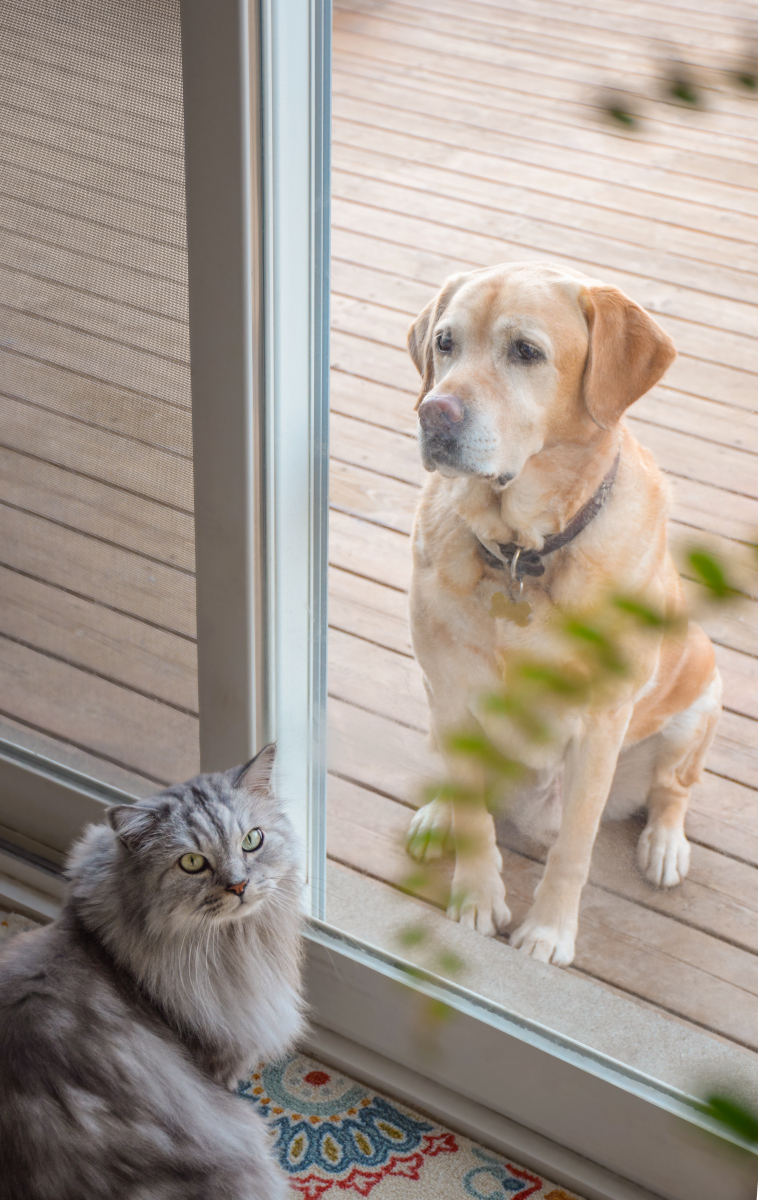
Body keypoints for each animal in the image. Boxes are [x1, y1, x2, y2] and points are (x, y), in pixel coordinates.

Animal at [405, 260, 719, 964]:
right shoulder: (450, 692)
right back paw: (438, 813)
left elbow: (575, 849)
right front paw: (476, 898)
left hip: (701, 700)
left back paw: (664, 845)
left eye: (526, 352)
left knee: (674, 790)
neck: (521, 555)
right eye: (445, 342)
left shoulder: (600, 726)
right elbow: (475, 820)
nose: (433, 413)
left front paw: (548, 932)